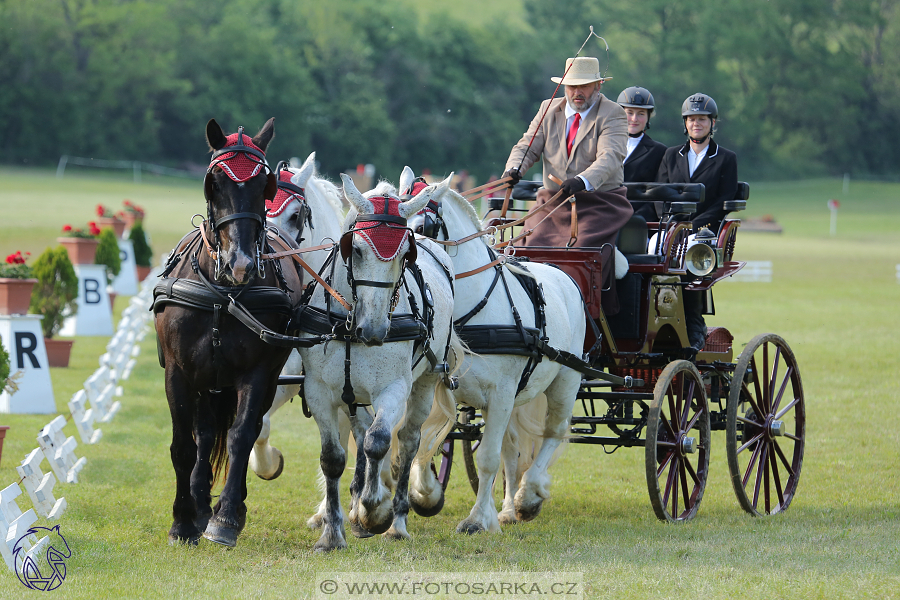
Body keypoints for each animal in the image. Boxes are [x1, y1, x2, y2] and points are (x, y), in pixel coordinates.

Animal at [154, 118, 306, 548]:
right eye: (215, 182)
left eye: (262, 185)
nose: (240, 263)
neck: (224, 293)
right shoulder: (179, 372)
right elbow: (184, 445)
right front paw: (184, 520)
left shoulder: (256, 373)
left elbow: (241, 435)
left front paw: (225, 519)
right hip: (207, 381)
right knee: (204, 434)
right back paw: (200, 500)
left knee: (243, 431)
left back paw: (225, 506)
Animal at [298, 175, 458, 552]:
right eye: (355, 249)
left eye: (404, 255)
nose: (373, 330)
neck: (349, 326)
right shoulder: (319, 391)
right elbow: (333, 457)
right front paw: (333, 533)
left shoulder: (394, 388)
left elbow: (380, 441)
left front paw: (373, 511)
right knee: (360, 432)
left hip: (425, 382)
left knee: (407, 441)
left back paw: (396, 519)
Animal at [406, 170, 588, 536]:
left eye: (423, 228)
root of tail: (562, 273)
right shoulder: (439, 384)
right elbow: (425, 442)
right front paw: (427, 494)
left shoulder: (501, 393)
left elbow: (487, 457)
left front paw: (477, 519)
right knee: (513, 446)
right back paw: (507, 508)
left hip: (565, 380)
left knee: (553, 432)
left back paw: (528, 495)